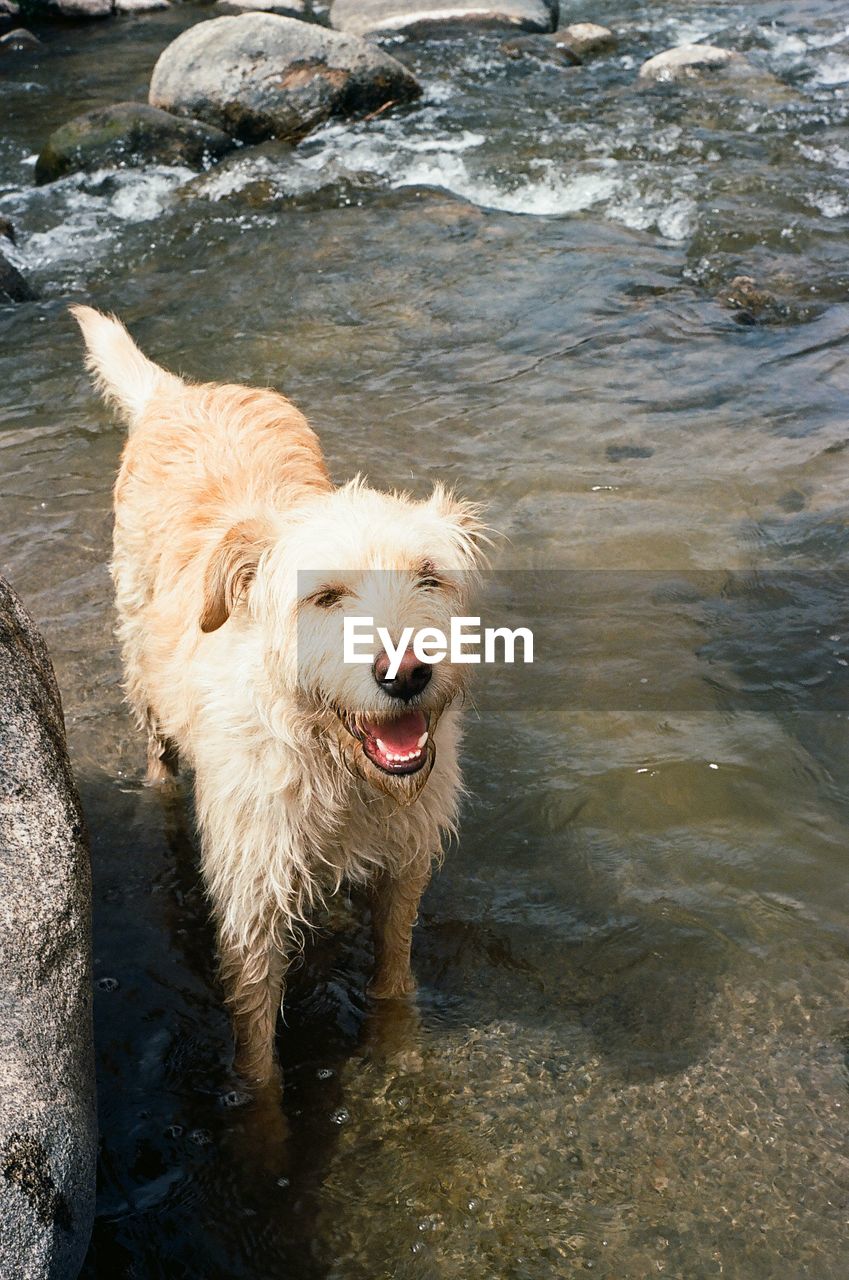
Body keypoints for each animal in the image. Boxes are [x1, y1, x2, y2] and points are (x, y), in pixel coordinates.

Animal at [71, 304, 484, 1085]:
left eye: (429, 576)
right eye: (323, 596)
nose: (405, 673)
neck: (331, 764)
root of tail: (180, 392)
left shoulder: (403, 866)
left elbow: (392, 975)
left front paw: (397, 1049)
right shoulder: (251, 902)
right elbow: (257, 1045)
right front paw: (259, 1114)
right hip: (138, 658)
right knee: (157, 745)